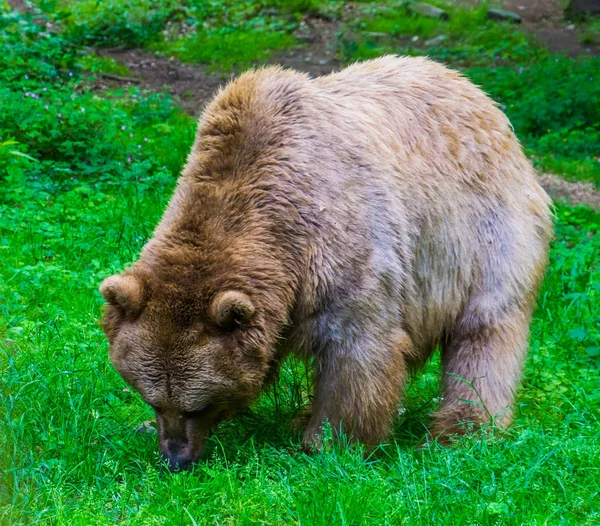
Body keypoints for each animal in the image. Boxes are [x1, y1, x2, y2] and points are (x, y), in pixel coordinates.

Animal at [98, 55, 552, 472]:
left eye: (197, 405)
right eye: (152, 398)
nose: (175, 459)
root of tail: (482, 99)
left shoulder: (342, 243)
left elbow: (355, 348)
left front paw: (330, 443)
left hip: (481, 233)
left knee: (485, 330)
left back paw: (462, 430)